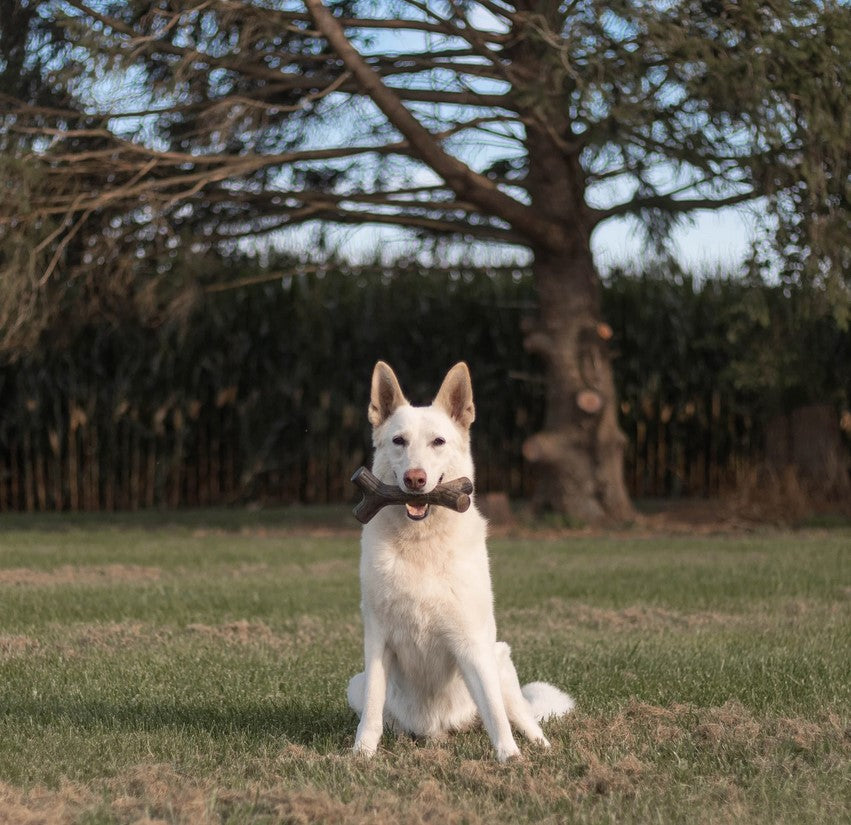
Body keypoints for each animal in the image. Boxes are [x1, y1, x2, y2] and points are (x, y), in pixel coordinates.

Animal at [348, 360, 580, 760]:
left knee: (520, 715)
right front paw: (362, 755)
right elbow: (374, 708)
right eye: (399, 441)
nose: (414, 479)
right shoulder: (377, 641)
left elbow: (495, 714)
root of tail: (440, 729)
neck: (422, 543)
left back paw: (540, 746)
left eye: (438, 442)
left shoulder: (471, 643)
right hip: (356, 683)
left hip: (499, 659)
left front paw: (510, 758)